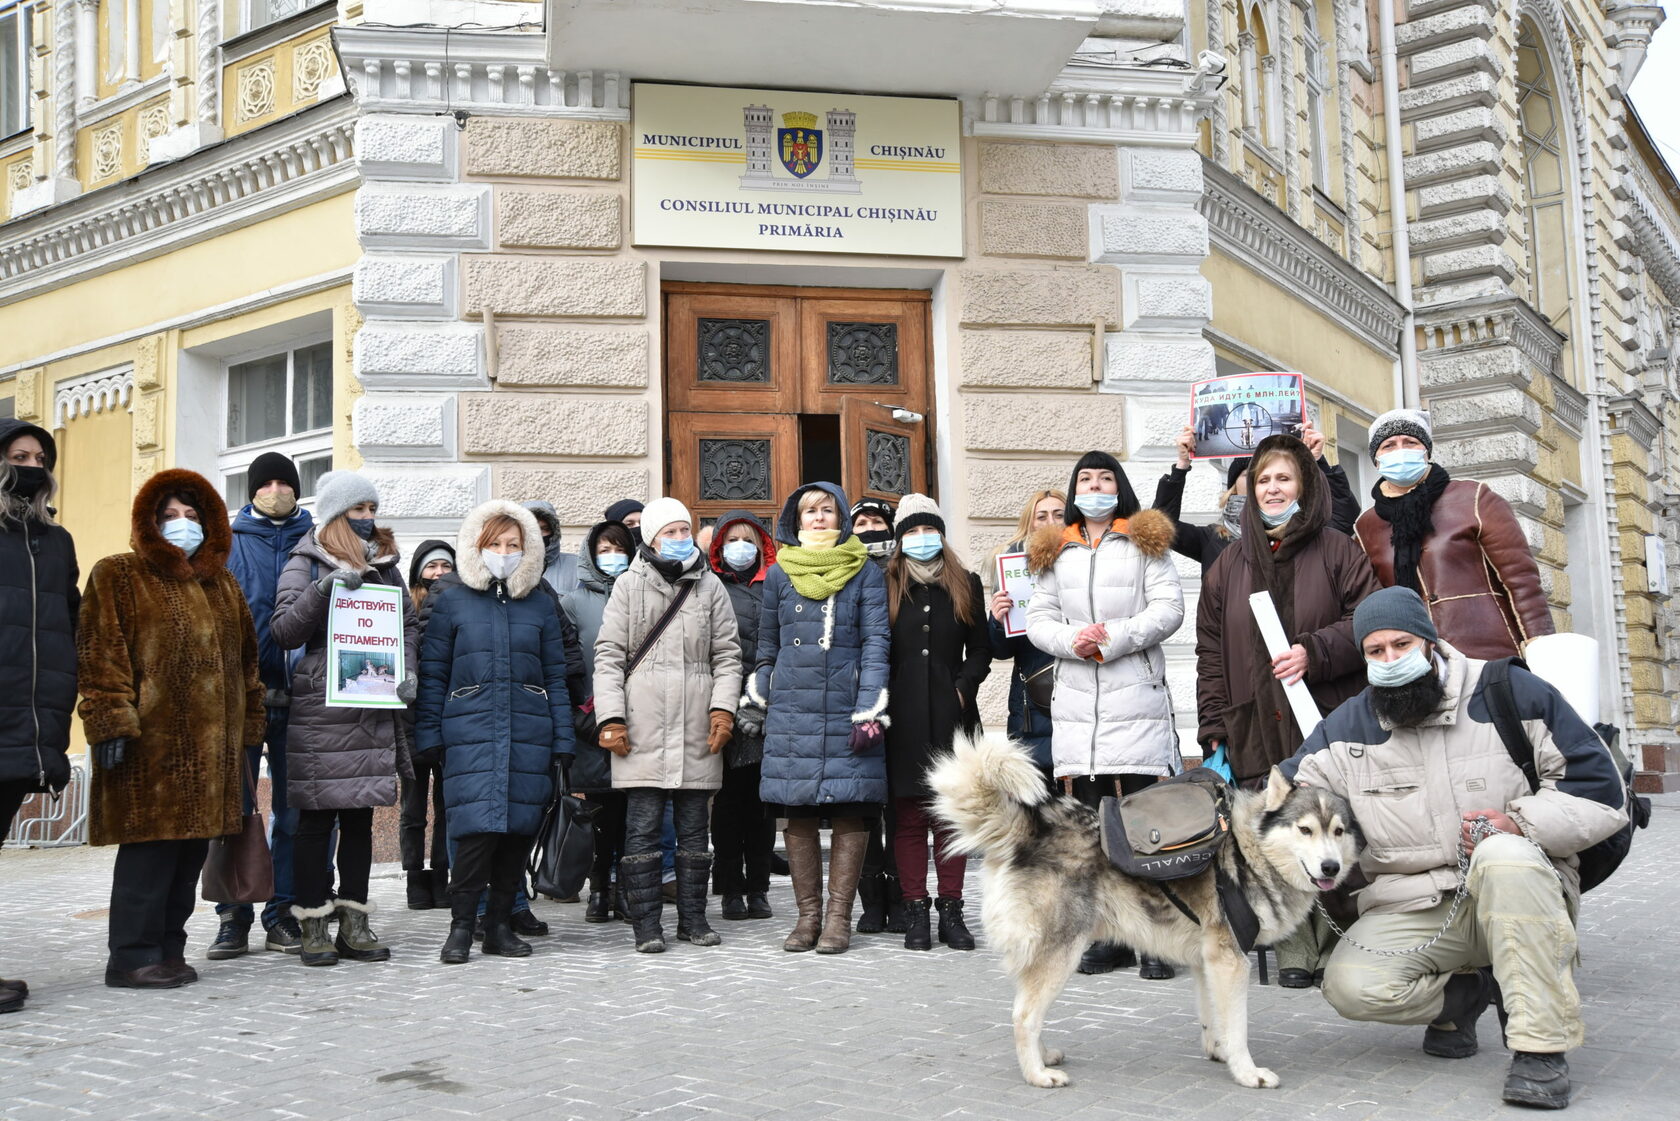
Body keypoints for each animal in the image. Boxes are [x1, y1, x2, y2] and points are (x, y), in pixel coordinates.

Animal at [934, 732, 1364, 1089]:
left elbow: (1214, 1019)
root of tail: (1029, 831)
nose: (1331, 868)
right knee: (1023, 1016)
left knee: (1025, 1009)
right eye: (1305, 830)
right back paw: (1037, 1075)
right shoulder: (1232, 961)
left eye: (1338, 831)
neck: (1248, 852)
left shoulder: (1208, 962)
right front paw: (1247, 1073)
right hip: (1062, 955)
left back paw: (1043, 1057)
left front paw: (1218, 1051)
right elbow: (1238, 1028)